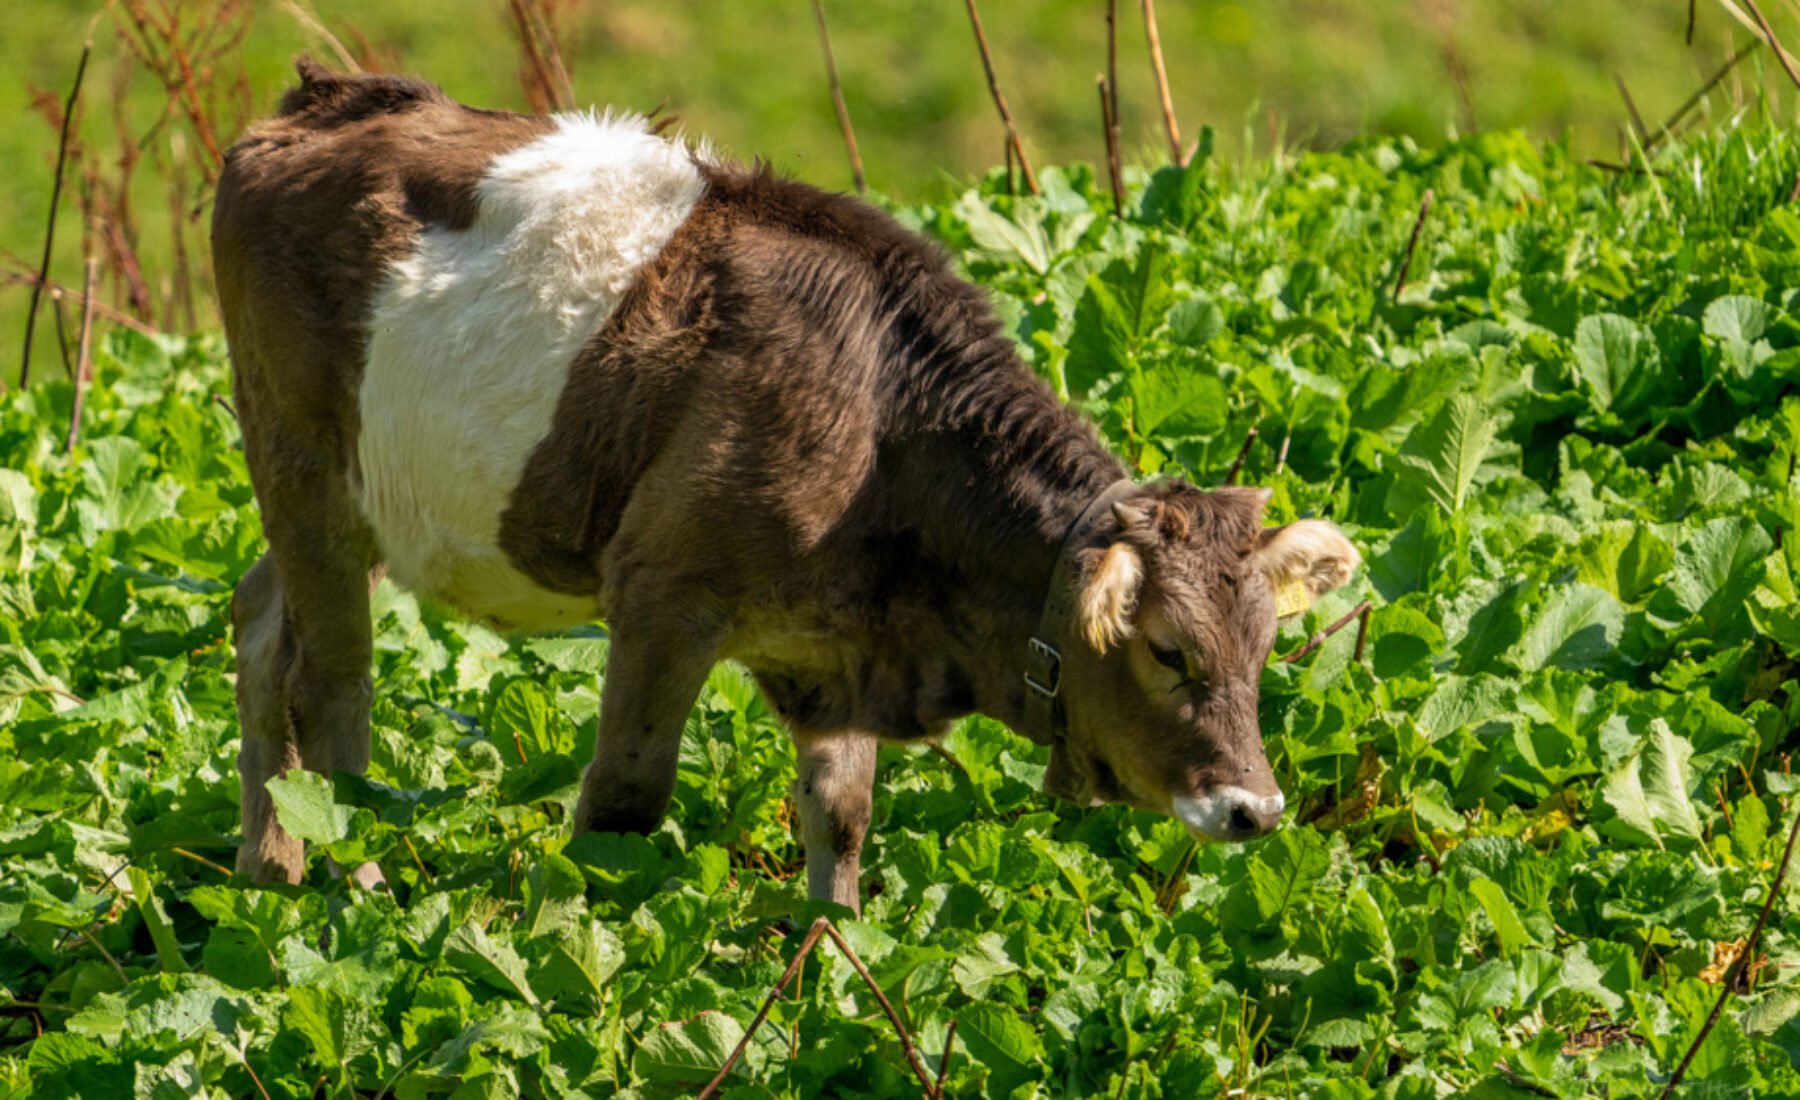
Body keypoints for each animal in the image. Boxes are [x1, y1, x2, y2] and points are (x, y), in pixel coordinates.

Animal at [211, 61, 1359, 910]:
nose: (1256, 809)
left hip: (353, 491)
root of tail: (326, 98)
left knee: (261, 626)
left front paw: (832, 975)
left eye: (1264, 644)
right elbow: (620, 804)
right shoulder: (662, 594)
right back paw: (355, 887)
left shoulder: (829, 643)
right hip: (302, 462)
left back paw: (268, 870)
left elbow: (840, 815)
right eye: (1167, 649)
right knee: (333, 680)